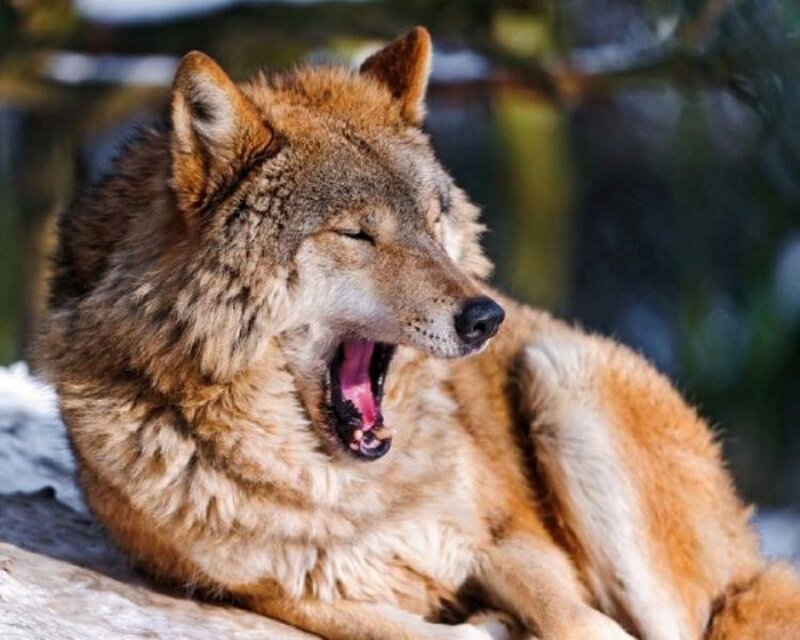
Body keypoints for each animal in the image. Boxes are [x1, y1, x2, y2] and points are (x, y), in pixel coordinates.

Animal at [35, 27, 800, 640]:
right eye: (357, 234)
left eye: (433, 224)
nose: (486, 317)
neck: (344, 493)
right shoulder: (284, 593)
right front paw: (488, 625)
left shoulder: (512, 537)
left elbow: (576, 619)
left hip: (560, 374)